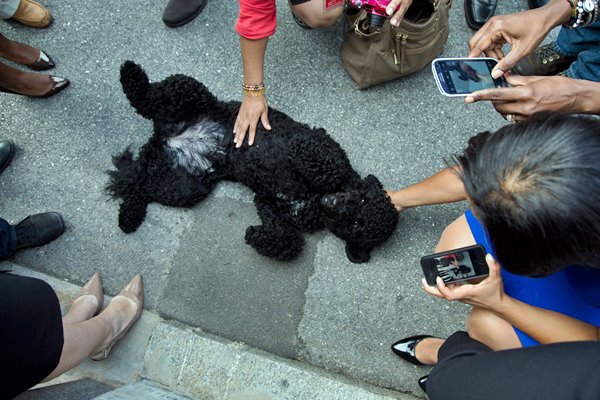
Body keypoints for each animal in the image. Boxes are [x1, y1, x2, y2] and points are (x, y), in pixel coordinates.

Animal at [108, 61, 398, 262]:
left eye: (357, 225)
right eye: (362, 200)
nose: (336, 203)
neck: (316, 197)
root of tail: (164, 137)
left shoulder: (269, 202)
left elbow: (290, 242)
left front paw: (256, 236)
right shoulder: (320, 144)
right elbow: (325, 163)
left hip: (184, 185)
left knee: (140, 187)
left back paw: (128, 217)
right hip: (187, 93)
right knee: (147, 99)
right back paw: (130, 73)